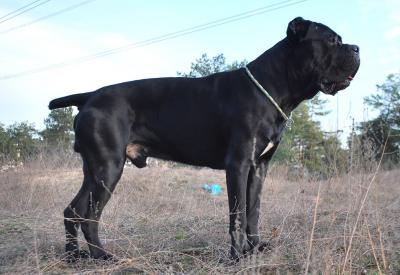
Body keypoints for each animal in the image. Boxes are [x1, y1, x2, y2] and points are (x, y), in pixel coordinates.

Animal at [49, 17, 360, 264]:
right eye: (332, 40)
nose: (356, 48)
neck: (272, 87)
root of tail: (89, 96)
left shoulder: (259, 168)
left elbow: (253, 211)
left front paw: (254, 249)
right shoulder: (238, 165)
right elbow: (238, 214)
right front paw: (236, 257)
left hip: (94, 170)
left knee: (72, 210)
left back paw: (74, 257)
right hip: (109, 168)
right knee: (89, 215)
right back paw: (102, 256)